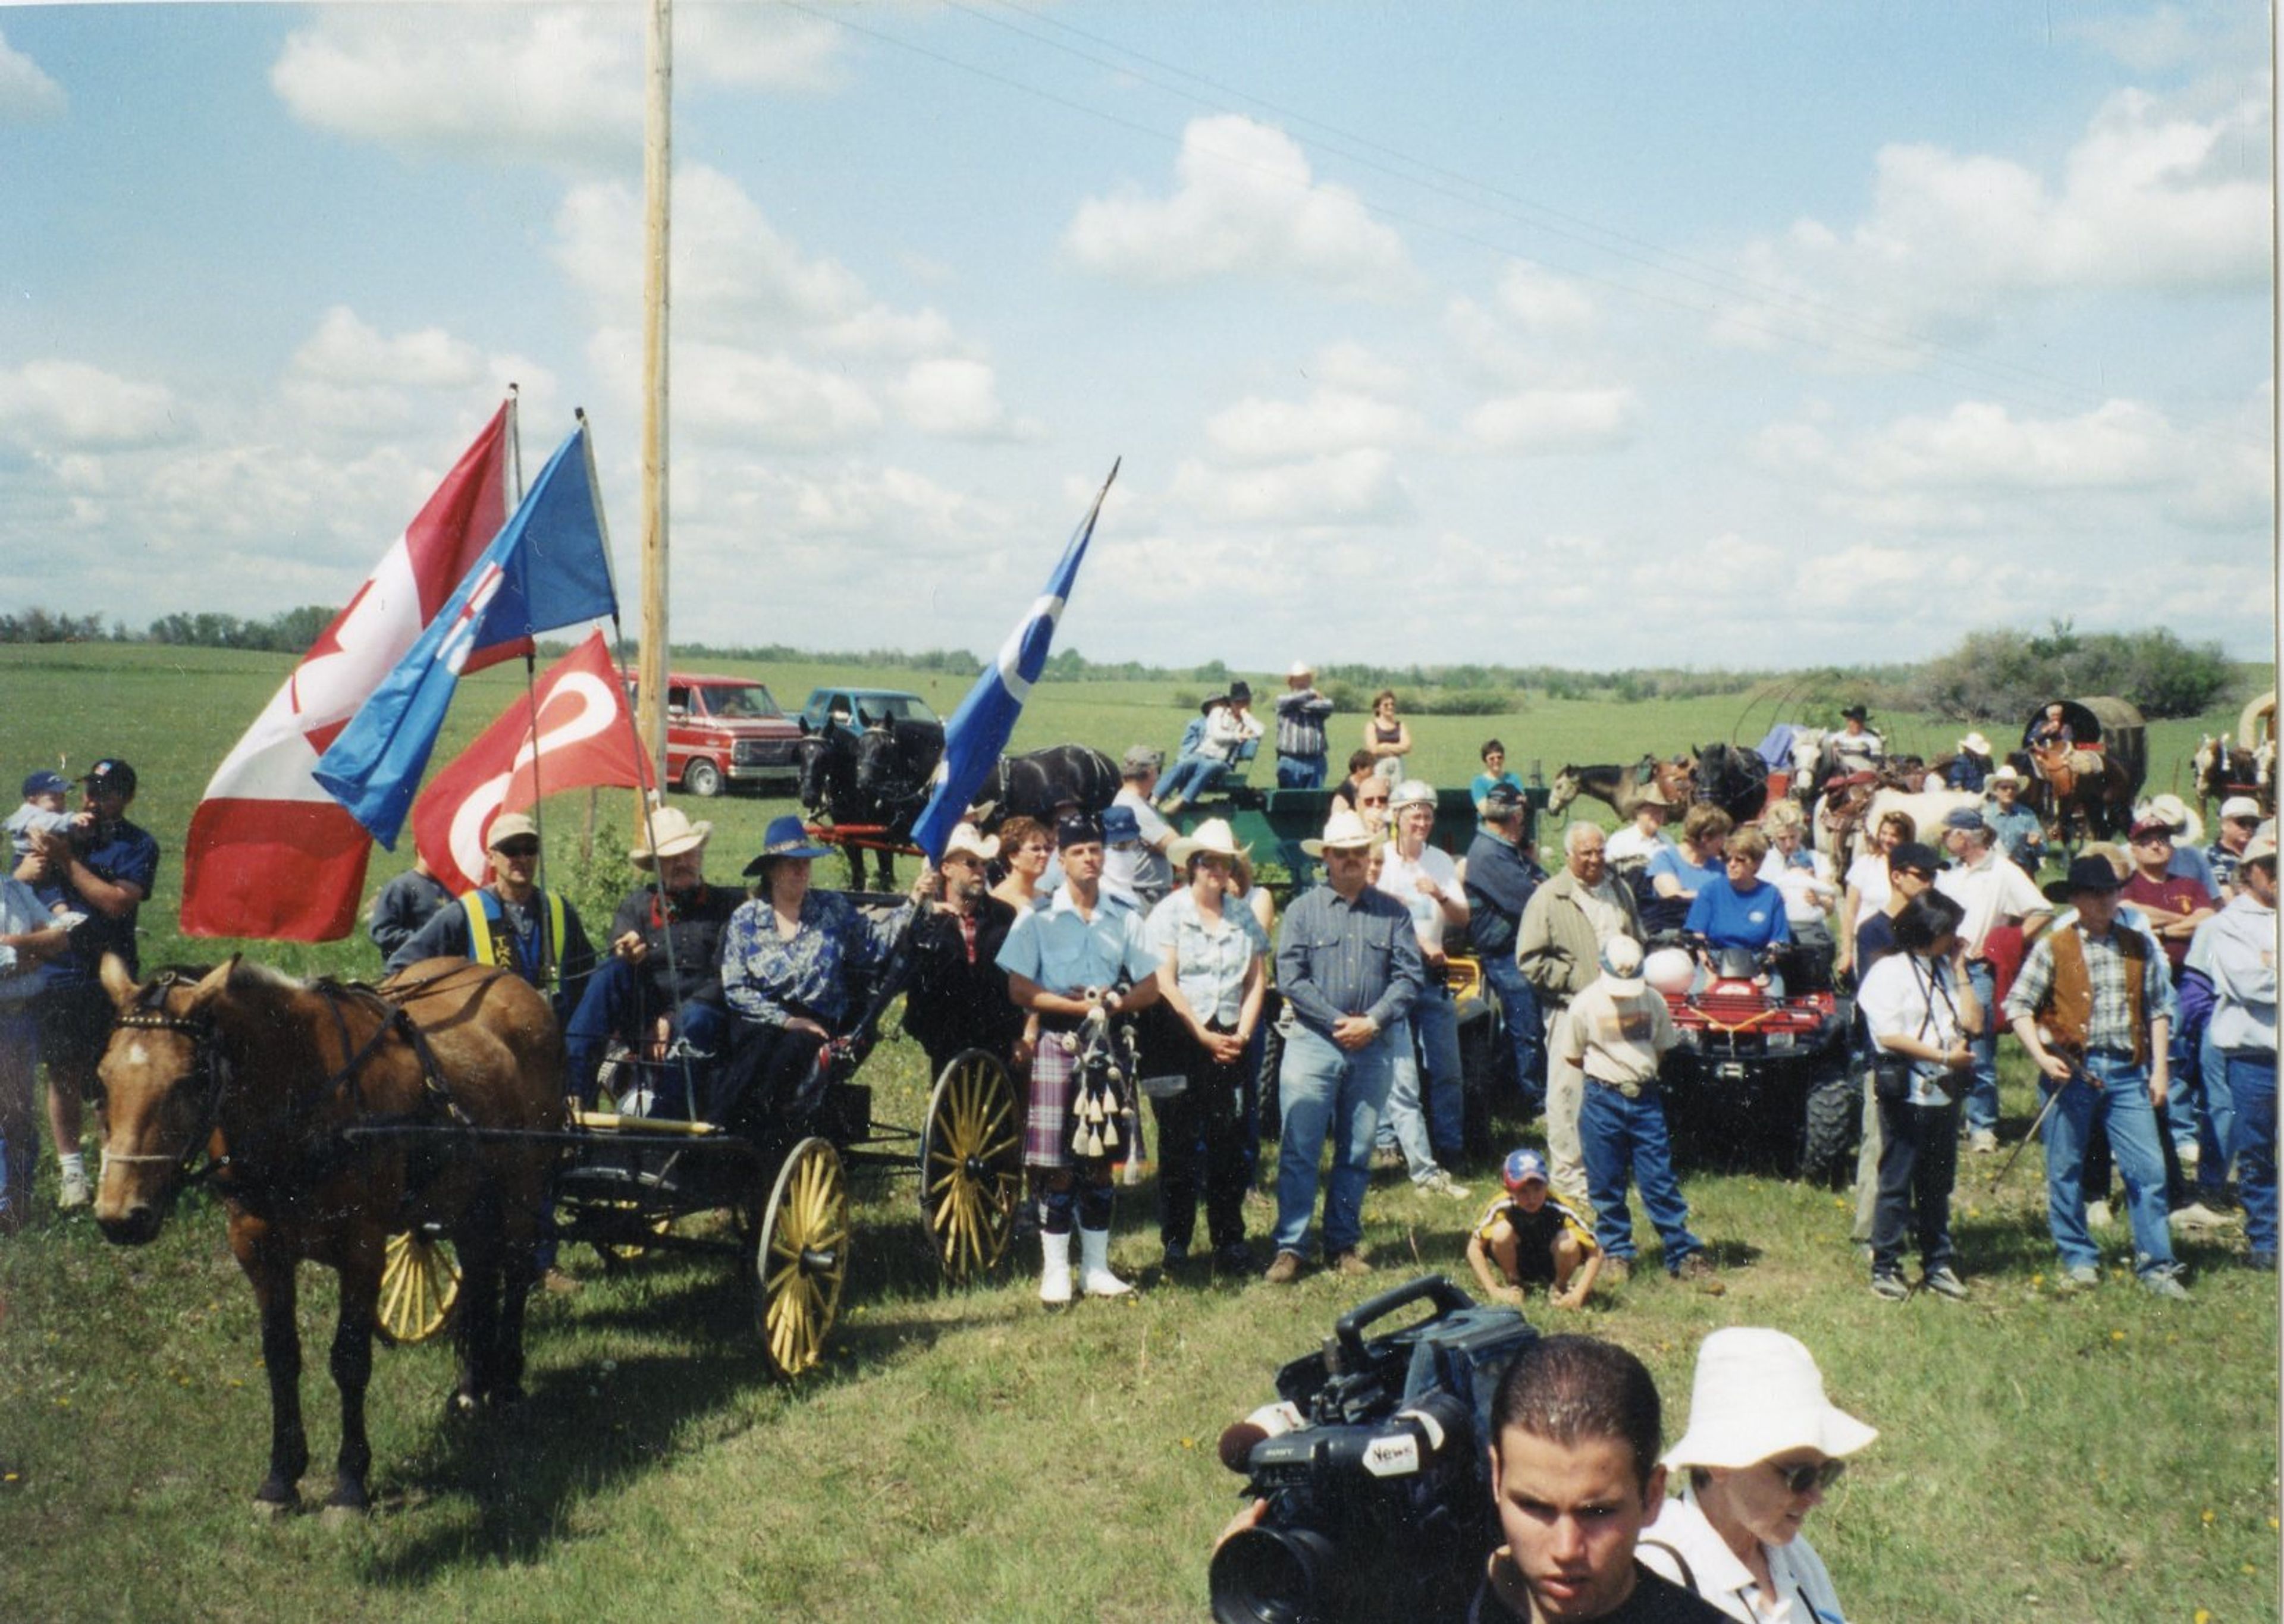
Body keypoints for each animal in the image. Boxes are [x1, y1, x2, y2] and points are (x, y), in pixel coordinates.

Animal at [95, 959, 566, 1516]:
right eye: (102, 1078)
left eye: (190, 1079)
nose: (120, 1215)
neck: (305, 1098)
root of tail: (512, 982)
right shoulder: (258, 1248)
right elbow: (280, 1357)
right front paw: (280, 1477)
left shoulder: (363, 1248)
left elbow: (350, 1358)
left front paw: (350, 1482)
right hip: (468, 1198)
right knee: (477, 1275)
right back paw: (474, 1386)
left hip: (524, 1185)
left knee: (515, 1275)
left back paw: (509, 1382)